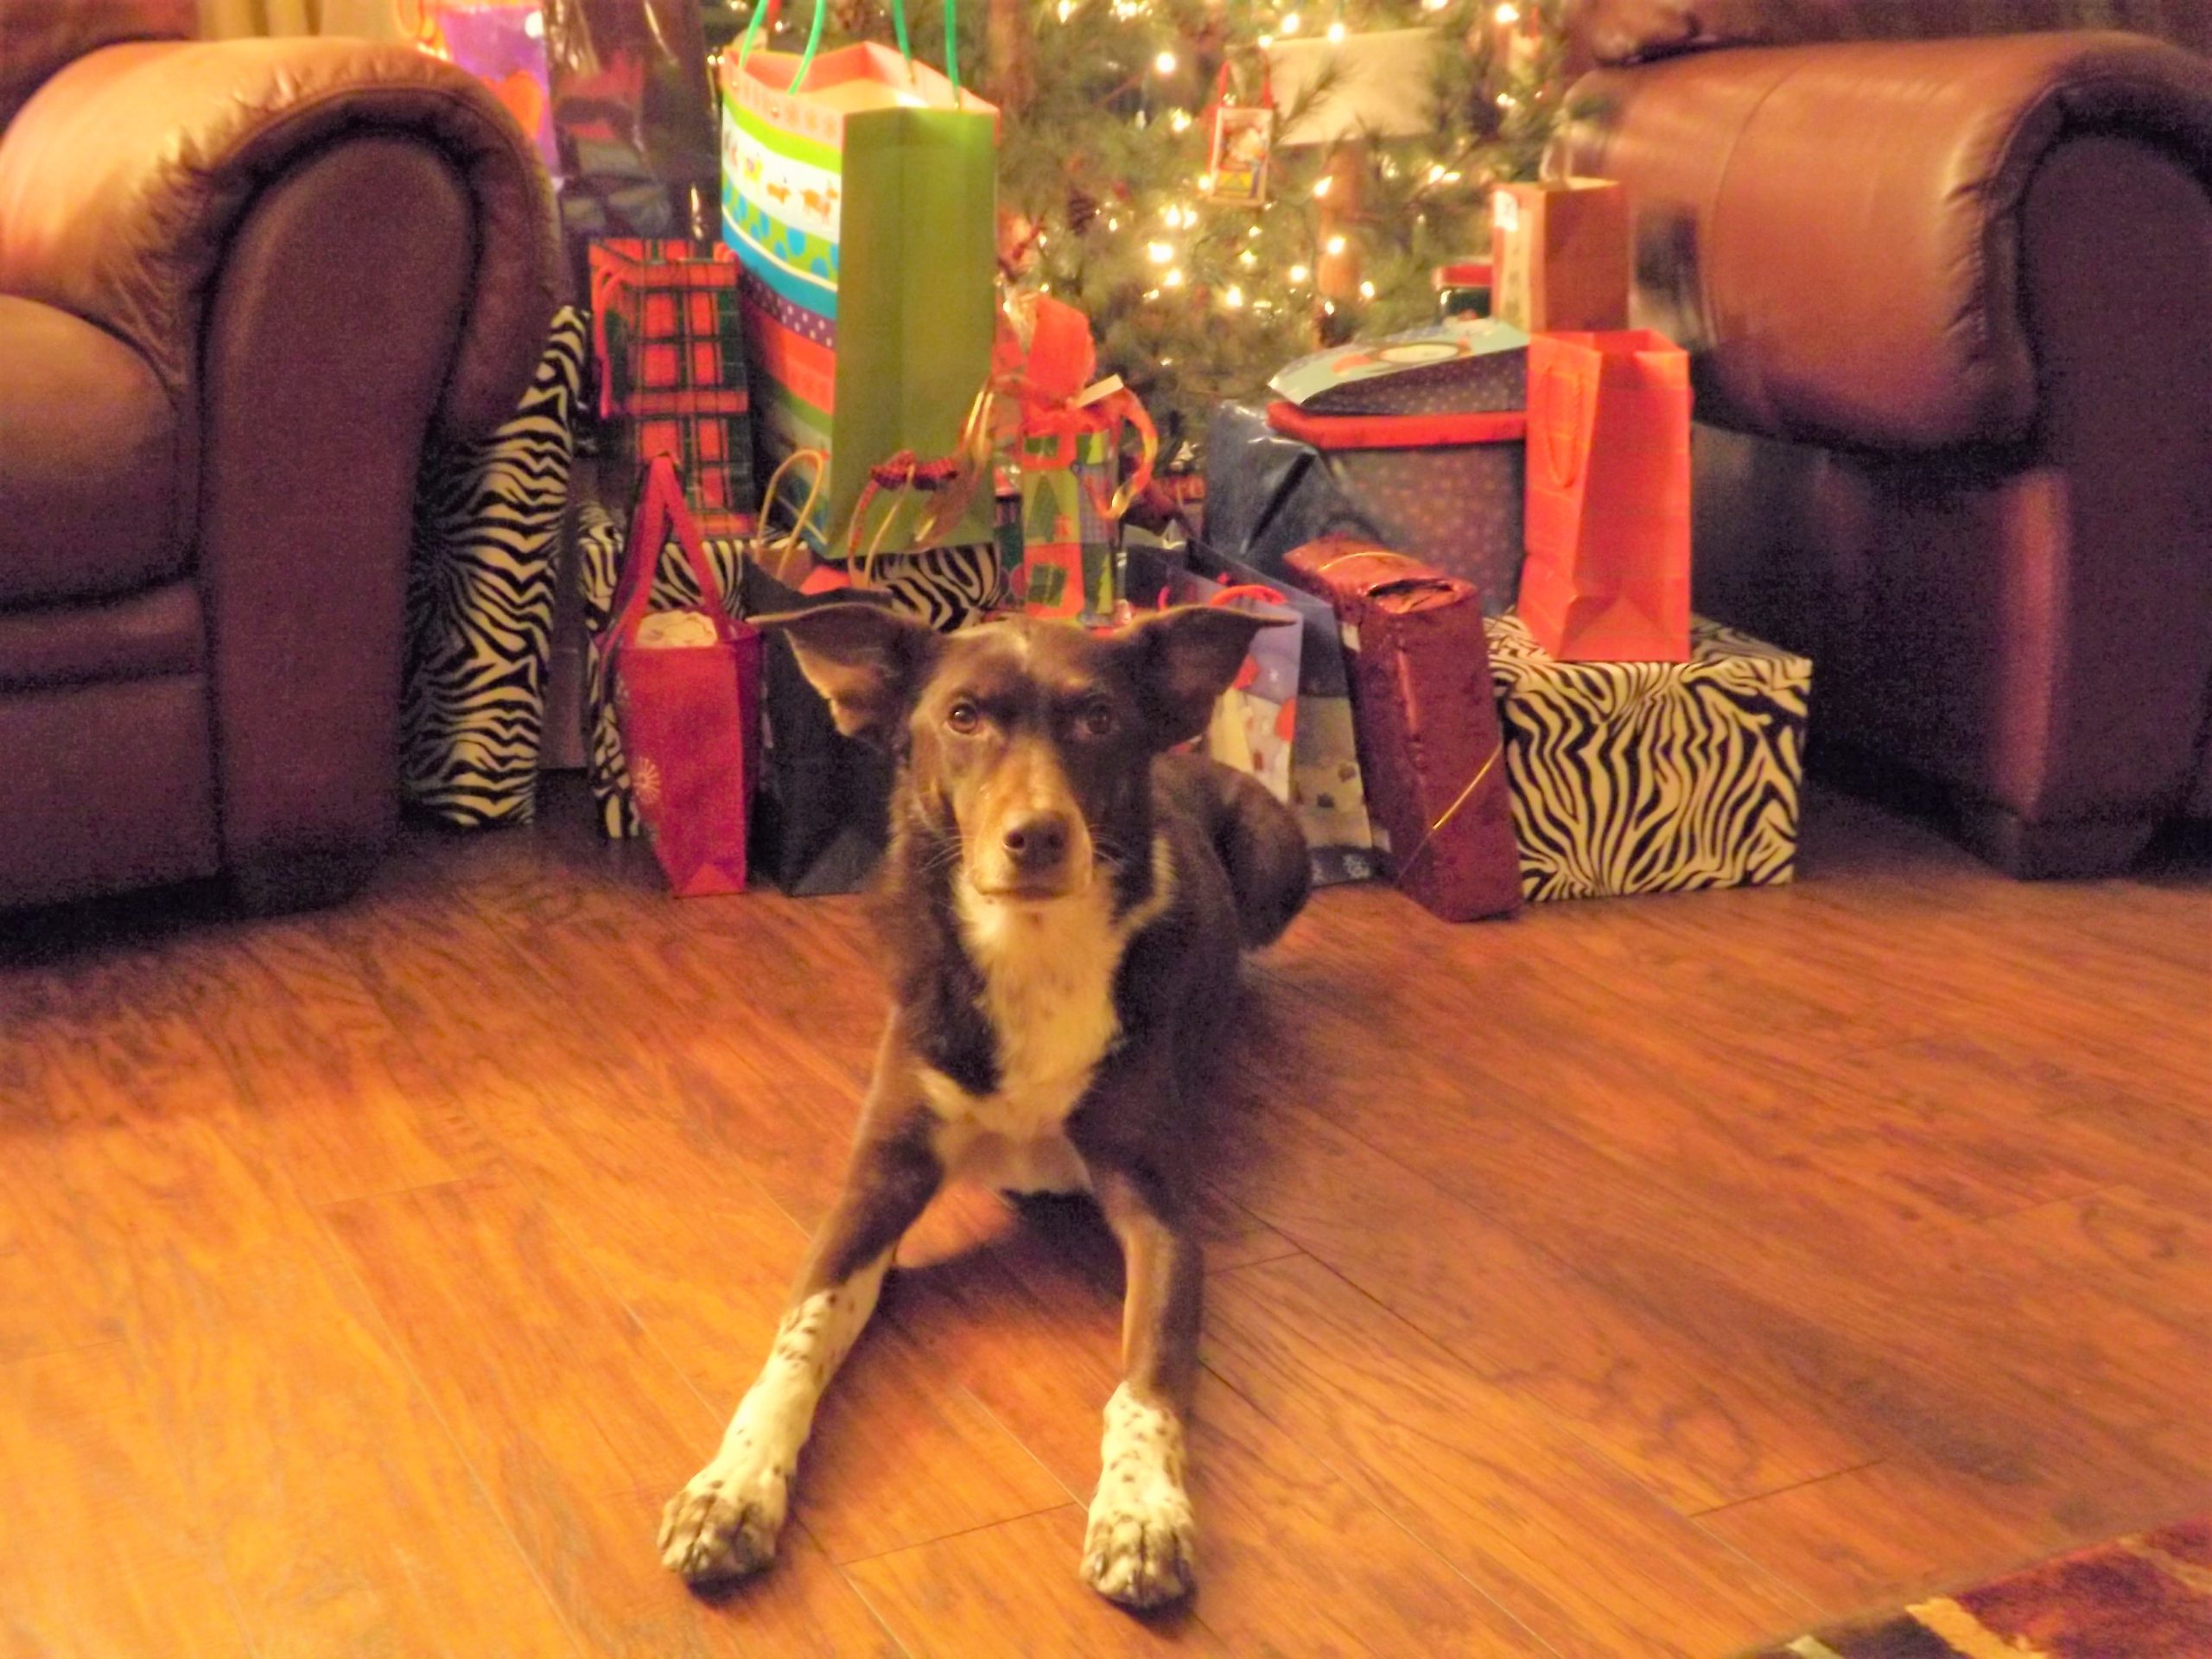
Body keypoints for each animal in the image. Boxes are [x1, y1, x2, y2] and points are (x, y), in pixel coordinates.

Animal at [654, 601, 1309, 1610]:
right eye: (962, 718)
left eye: (1097, 718)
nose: (1038, 835)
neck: (1029, 947)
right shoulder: (878, 1183)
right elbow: (796, 1342)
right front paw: (730, 1487)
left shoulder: (1160, 1213)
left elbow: (1149, 1382)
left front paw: (1142, 1513)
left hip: (1283, 856)